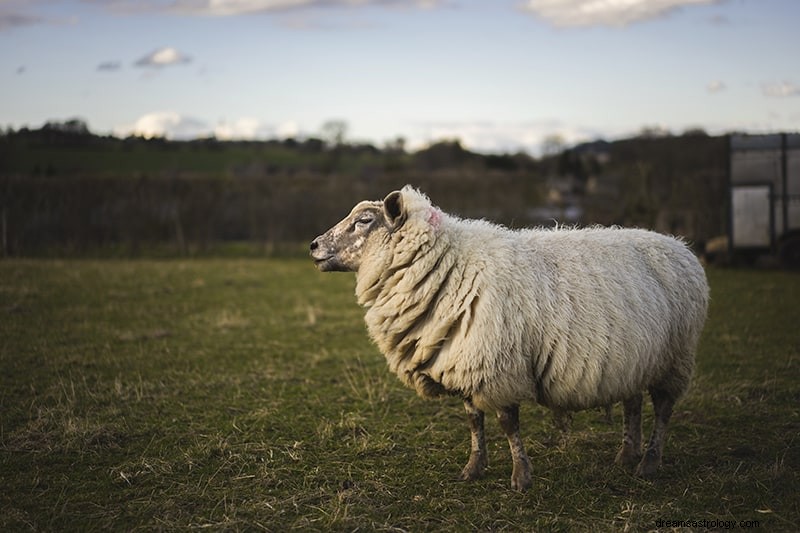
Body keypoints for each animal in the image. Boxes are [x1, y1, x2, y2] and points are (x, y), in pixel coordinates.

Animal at [310, 186, 708, 490]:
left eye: (364, 221)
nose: (313, 245)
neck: (450, 265)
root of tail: (680, 246)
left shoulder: (498, 363)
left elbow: (507, 423)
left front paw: (520, 476)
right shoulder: (463, 356)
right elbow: (474, 419)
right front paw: (473, 468)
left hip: (676, 357)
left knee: (663, 410)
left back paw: (649, 462)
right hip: (635, 356)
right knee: (632, 403)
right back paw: (626, 455)